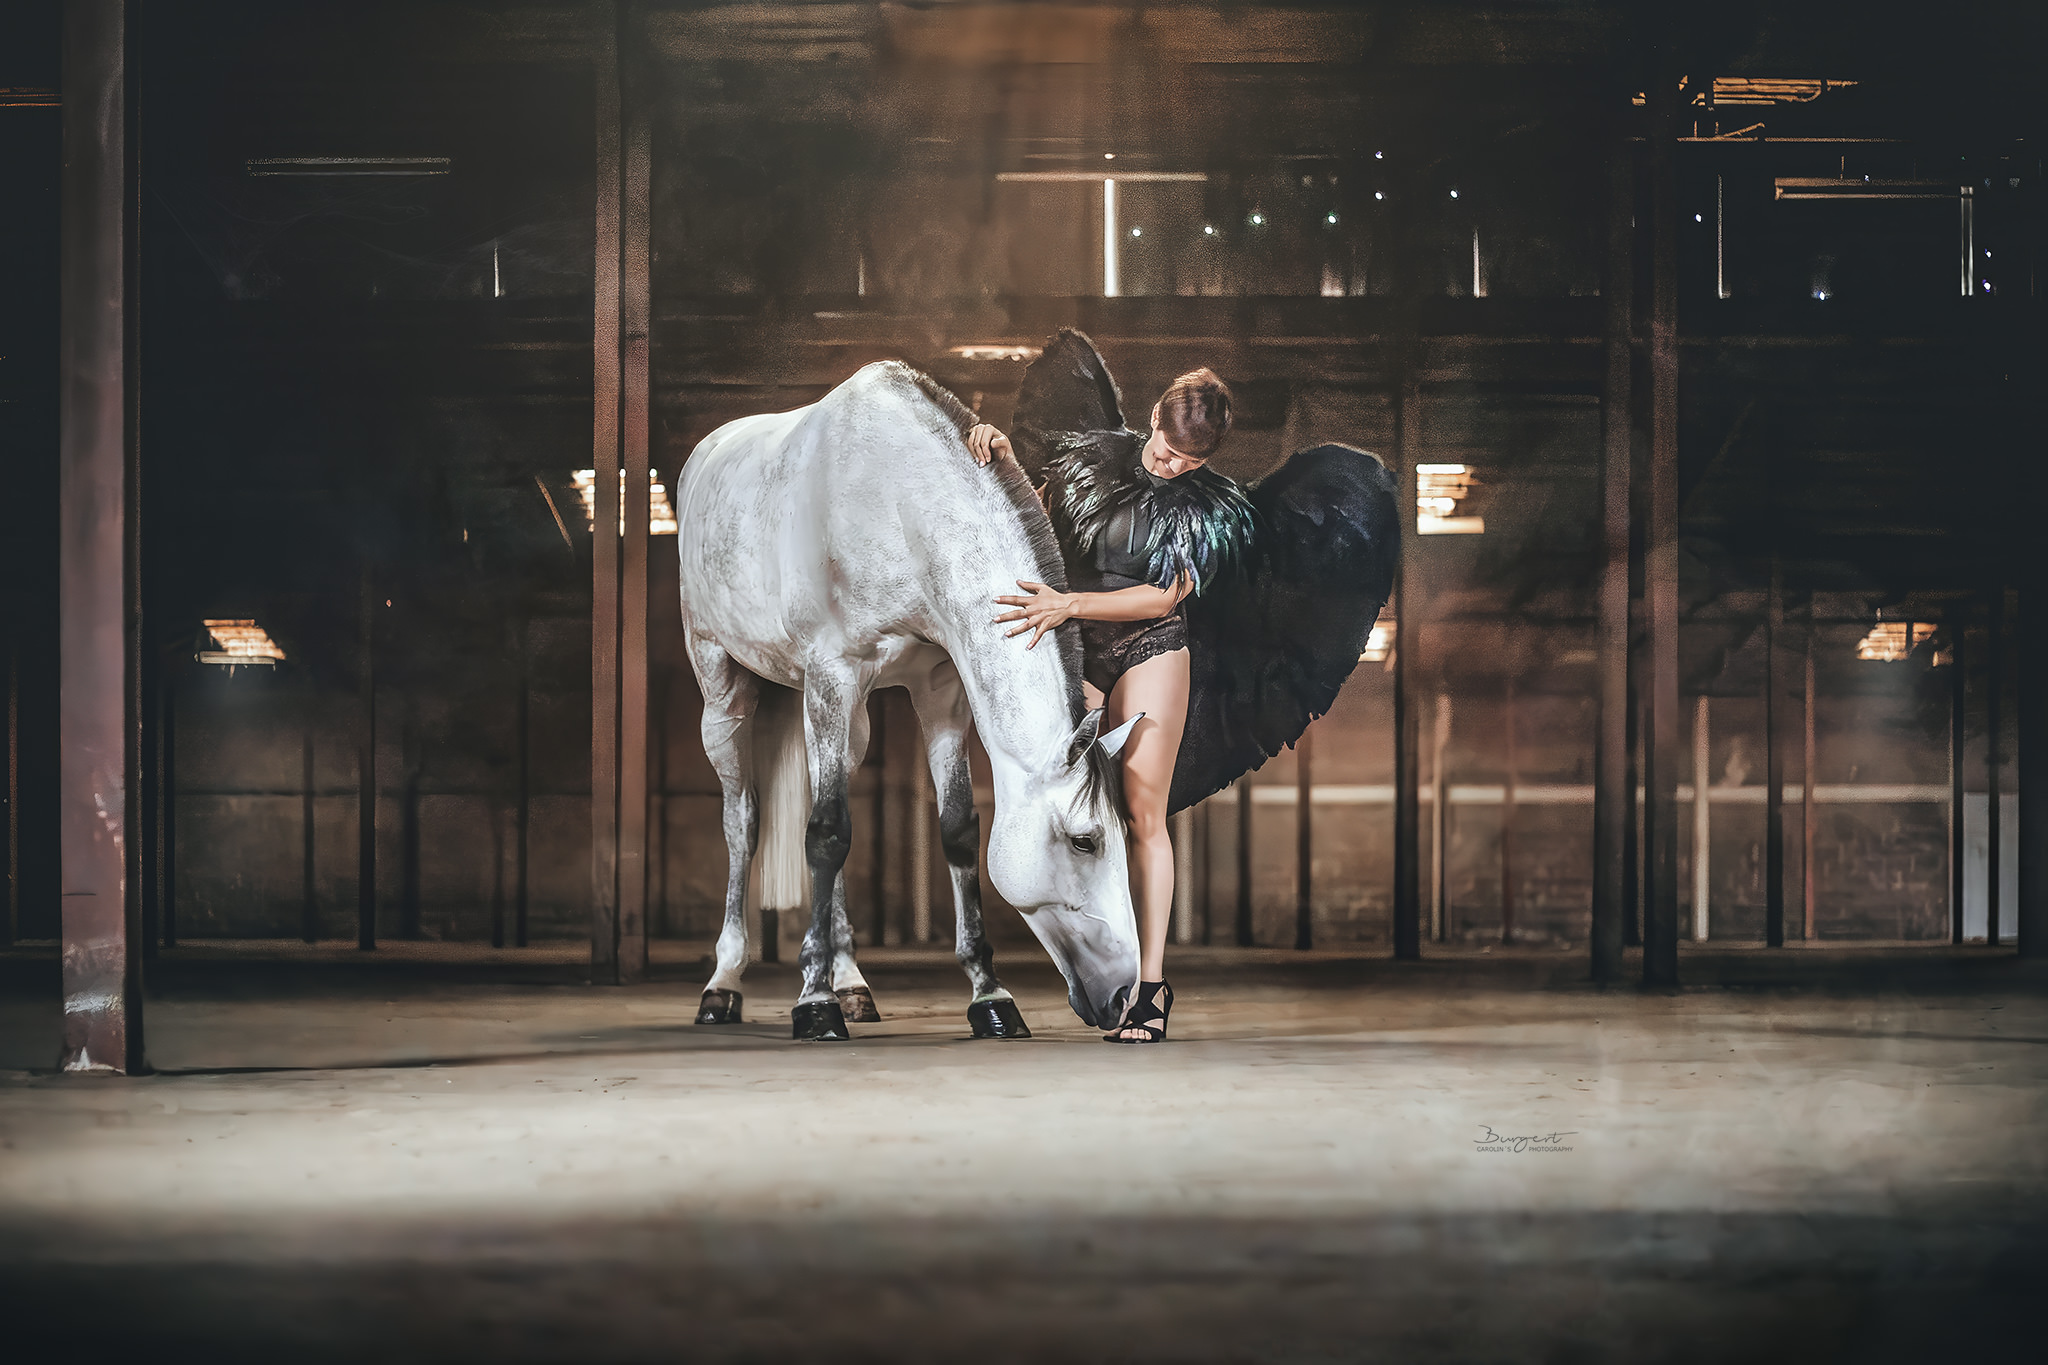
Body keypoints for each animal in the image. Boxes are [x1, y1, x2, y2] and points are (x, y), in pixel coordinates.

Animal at [675, 358, 1146, 1039]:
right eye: (1087, 841)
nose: (1123, 996)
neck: (899, 509)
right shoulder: (831, 674)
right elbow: (825, 834)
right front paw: (813, 1004)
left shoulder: (939, 687)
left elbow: (955, 827)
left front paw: (990, 997)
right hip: (721, 682)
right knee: (743, 821)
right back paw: (725, 986)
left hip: (847, 721)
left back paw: (851, 982)